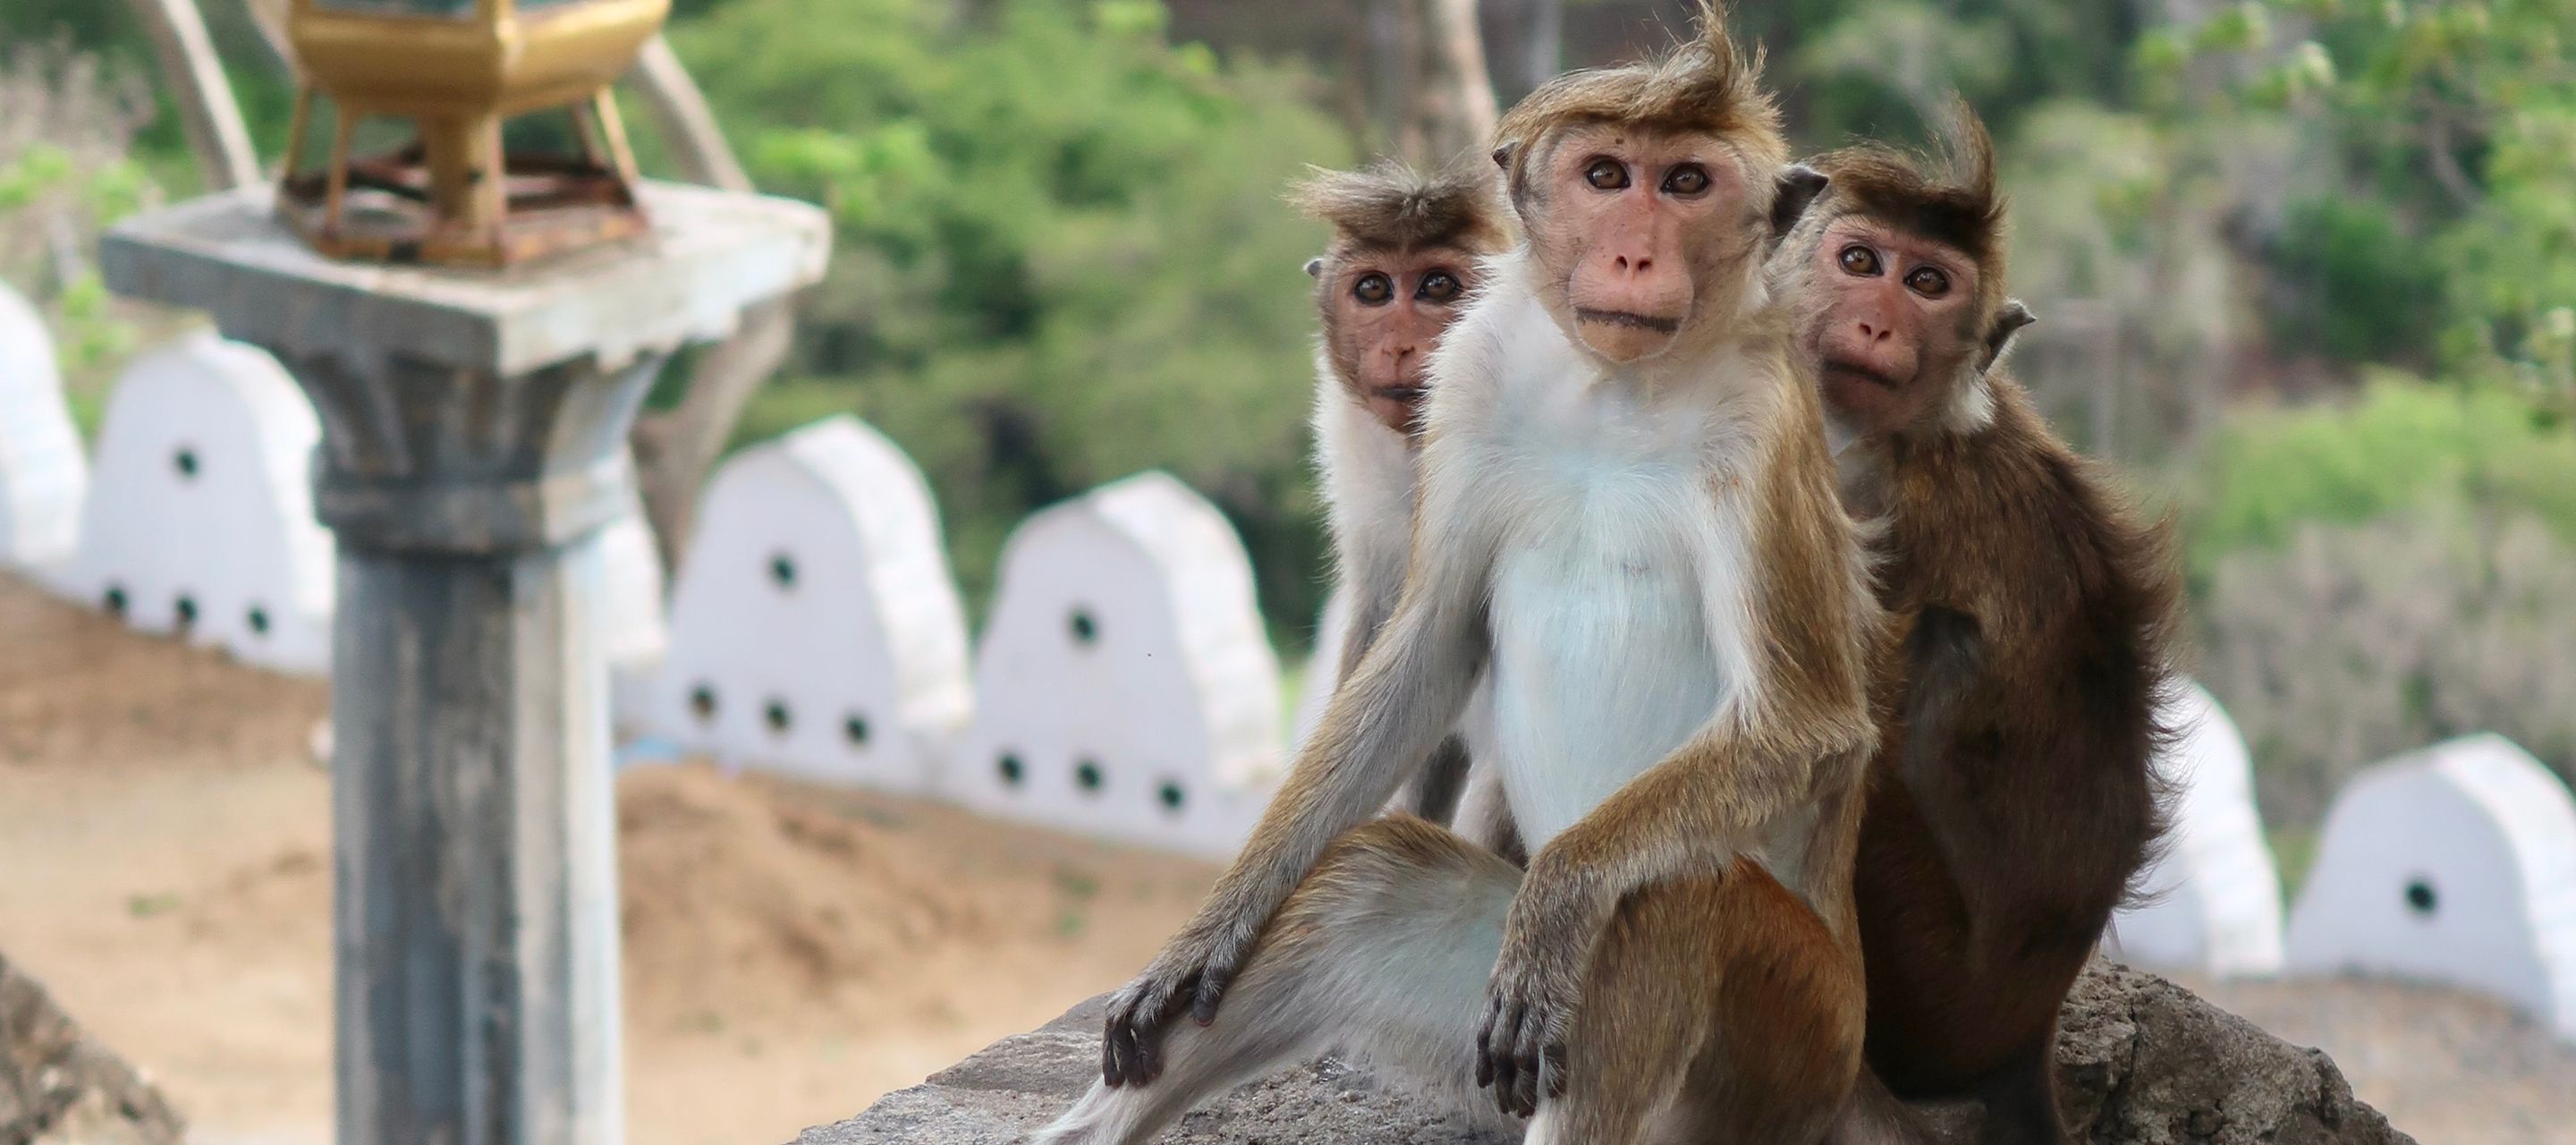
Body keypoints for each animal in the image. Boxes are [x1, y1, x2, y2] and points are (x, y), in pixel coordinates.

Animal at [1764, 107, 2178, 1145]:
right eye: (1860, 260)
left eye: (1927, 283)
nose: (1878, 321)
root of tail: (2022, 1033)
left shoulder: (1863, 506)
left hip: (1927, 963)